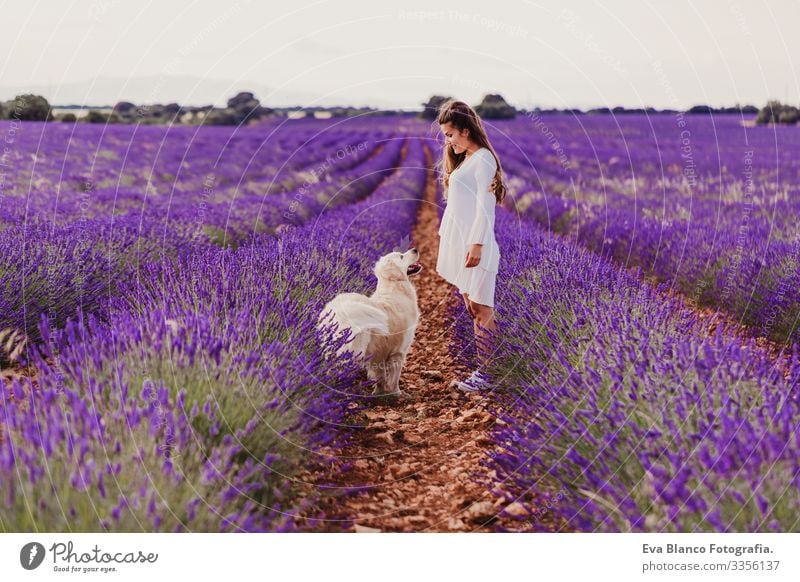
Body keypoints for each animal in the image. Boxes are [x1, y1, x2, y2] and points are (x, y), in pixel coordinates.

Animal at [316, 246, 422, 396]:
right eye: (401, 256)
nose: (415, 249)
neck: (394, 286)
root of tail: (340, 310)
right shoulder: (399, 352)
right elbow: (394, 379)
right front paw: (397, 394)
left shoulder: (377, 355)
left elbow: (380, 376)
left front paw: (379, 393)